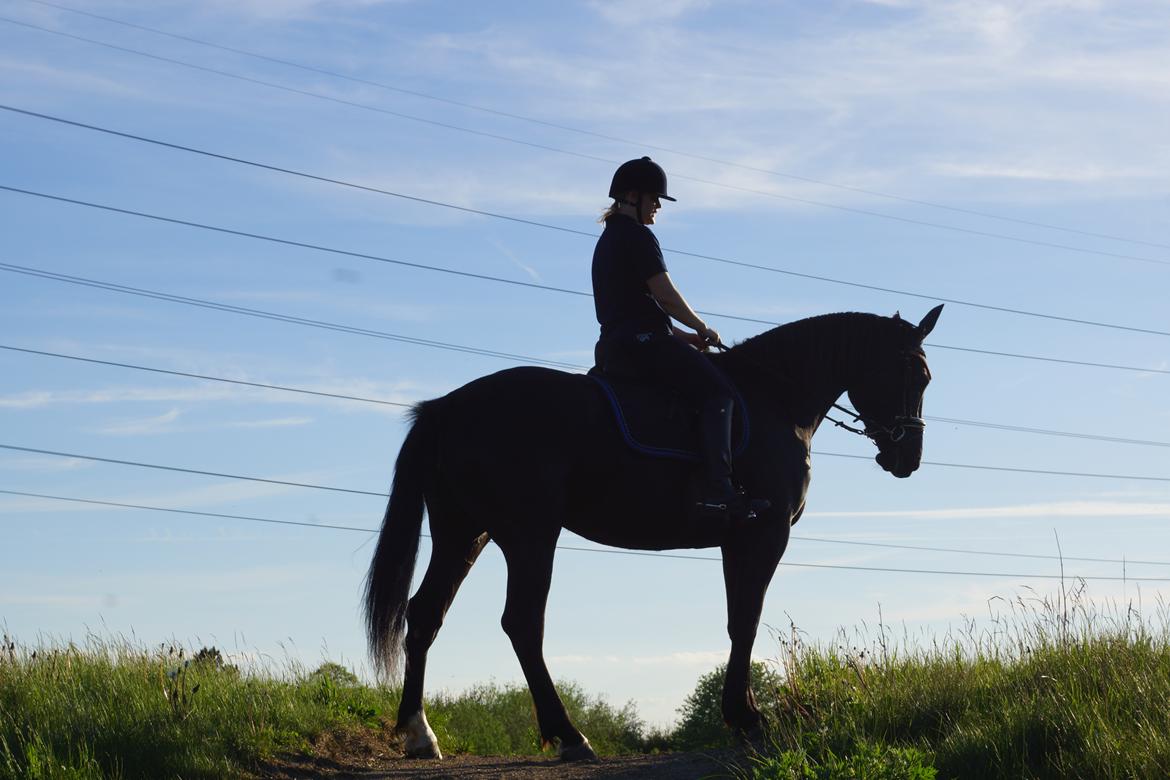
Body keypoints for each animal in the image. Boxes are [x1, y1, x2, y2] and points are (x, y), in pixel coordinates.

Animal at [365, 306, 940, 762]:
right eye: (914, 374)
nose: (906, 458)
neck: (774, 400)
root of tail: (446, 409)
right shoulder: (764, 533)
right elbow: (746, 622)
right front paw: (748, 720)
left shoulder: (736, 539)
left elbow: (738, 620)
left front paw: (742, 714)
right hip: (529, 534)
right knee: (523, 623)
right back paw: (569, 736)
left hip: (465, 533)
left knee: (425, 615)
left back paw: (420, 735)